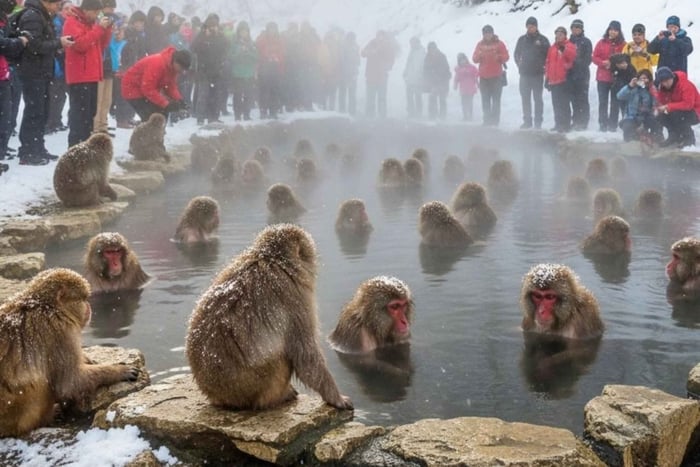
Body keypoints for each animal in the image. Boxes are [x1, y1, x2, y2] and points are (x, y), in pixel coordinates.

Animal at [0, 268, 139, 437]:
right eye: (83, 299)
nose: (89, 307)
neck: (50, 307)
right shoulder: (60, 332)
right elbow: (70, 382)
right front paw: (119, 370)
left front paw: (87, 359)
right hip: (17, 417)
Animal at [185, 224, 353, 411]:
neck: (269, 258)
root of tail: (218, 396)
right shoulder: (296, 296)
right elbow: (305, 355)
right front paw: (337, 398)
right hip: (260, 385)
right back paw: (281, 396)